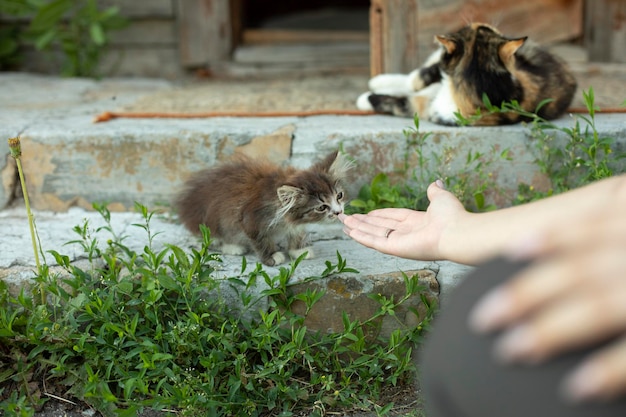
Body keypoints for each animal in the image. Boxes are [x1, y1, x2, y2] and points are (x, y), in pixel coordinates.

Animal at [176, 151, 348, 264]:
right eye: (322, 207)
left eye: (339, 196)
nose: (339, 211)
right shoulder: (250, 218)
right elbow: (261, 240)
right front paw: (272, 256)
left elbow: (297, 232)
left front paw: (299, 250)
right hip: (211, 221)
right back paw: (232, 246)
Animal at [356, 22, 576, 125]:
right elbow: (419, 78)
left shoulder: (425, 107)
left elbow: (395, 102)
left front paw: (364, 99)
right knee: (418, 75)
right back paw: (380, 80)